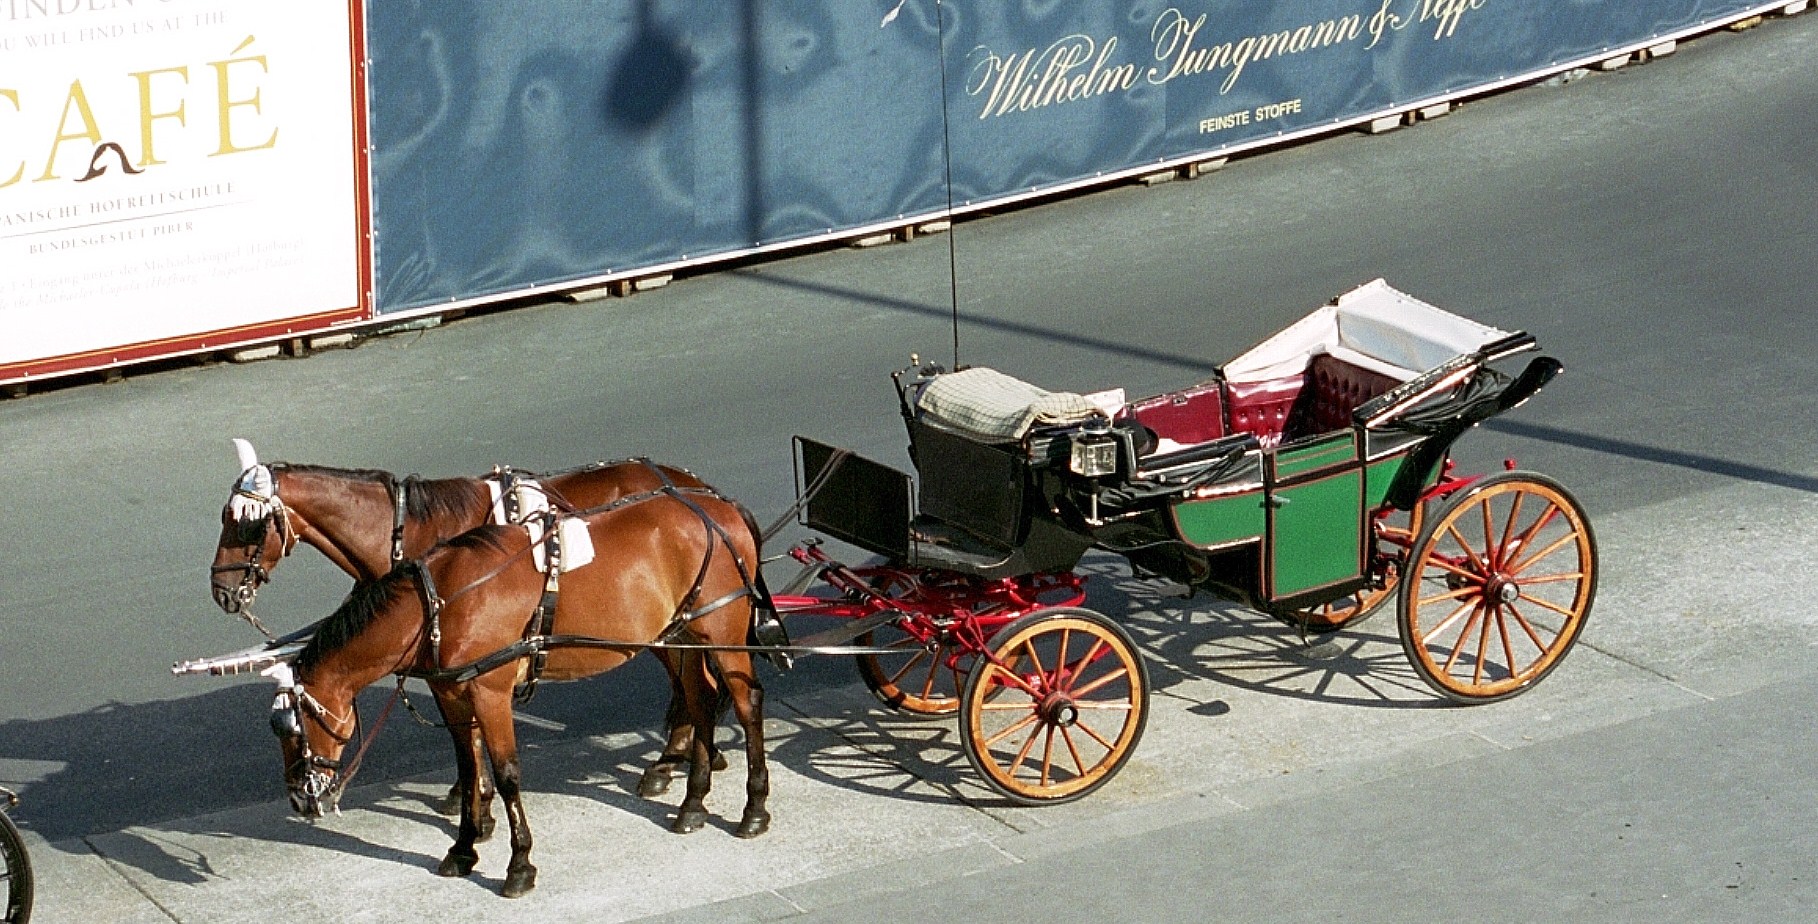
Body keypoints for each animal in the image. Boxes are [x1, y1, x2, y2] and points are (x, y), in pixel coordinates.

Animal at [208, 443, 730, 796]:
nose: (221, 589)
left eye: (246, 522)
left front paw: (473, 794)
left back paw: (674, 758)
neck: (414, 530)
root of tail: (695, 486)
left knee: (691, 681)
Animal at [272, 491, 770, 902]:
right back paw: (693, 803)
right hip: (682, 634)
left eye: (294, 727)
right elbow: (469, 769)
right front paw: (464, 846)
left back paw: (754, 807)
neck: (438, 604)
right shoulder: (452, 694)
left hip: (722, 631)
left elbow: (507, 773)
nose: (298, 798)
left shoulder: (489, 692)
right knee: (701, 700)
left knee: (747, 703)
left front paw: (519, 864)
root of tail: (721, 507)